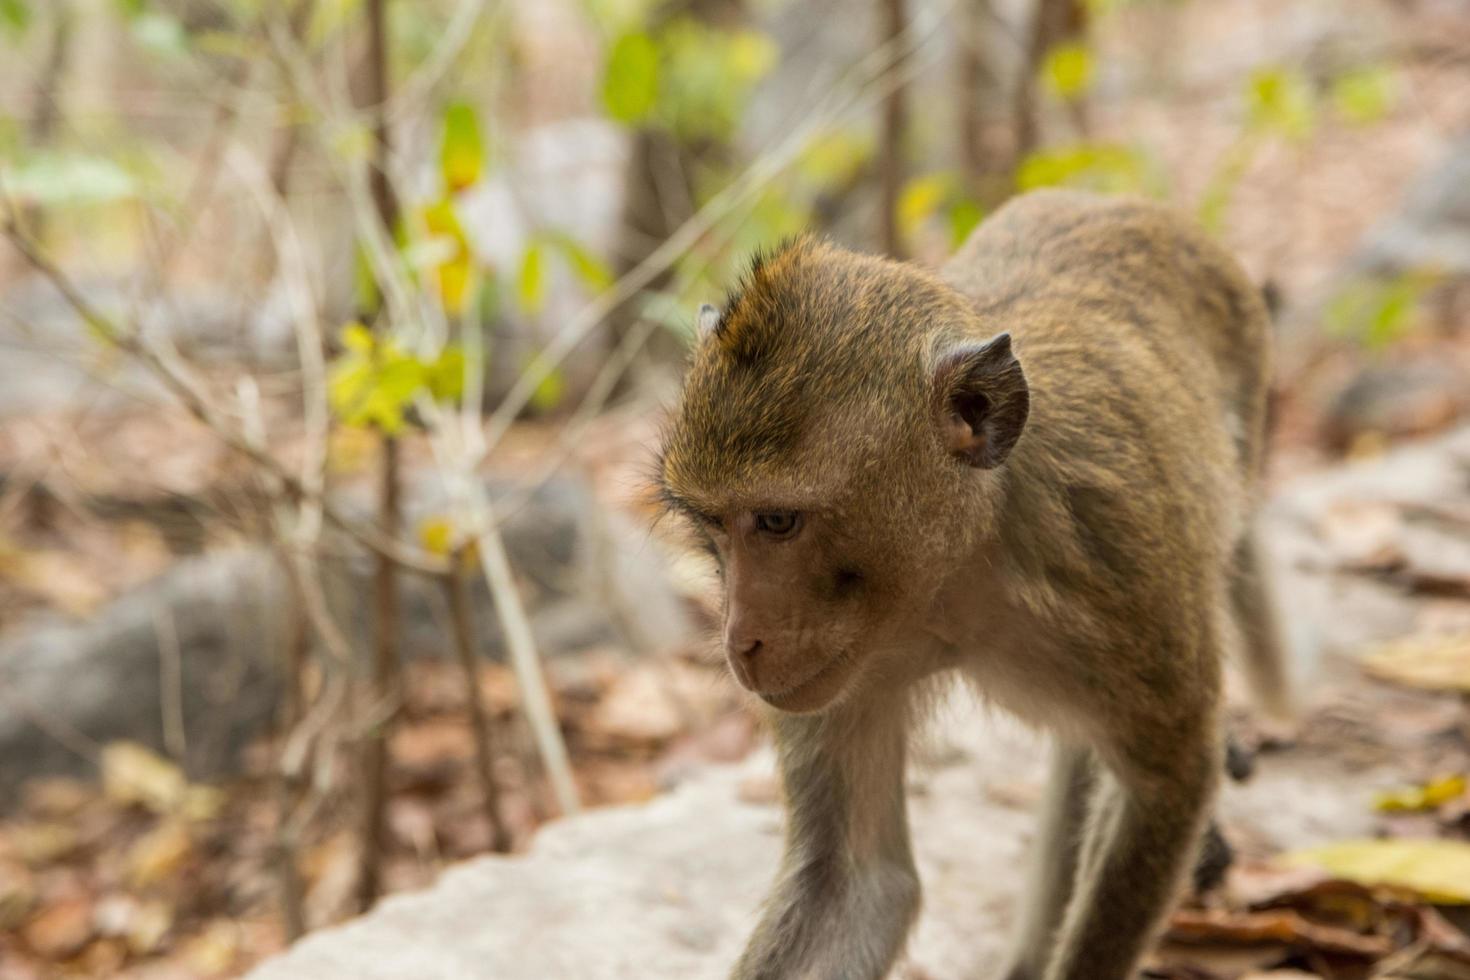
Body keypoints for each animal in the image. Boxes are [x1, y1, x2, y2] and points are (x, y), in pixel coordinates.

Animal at [655, 185, 1287, 980]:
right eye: (710, 523)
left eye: (775, 521)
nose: (740, 642)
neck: (960, 567)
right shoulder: (847, 671)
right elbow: (858, 884)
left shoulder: (1123, 562)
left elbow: (1167, 779)